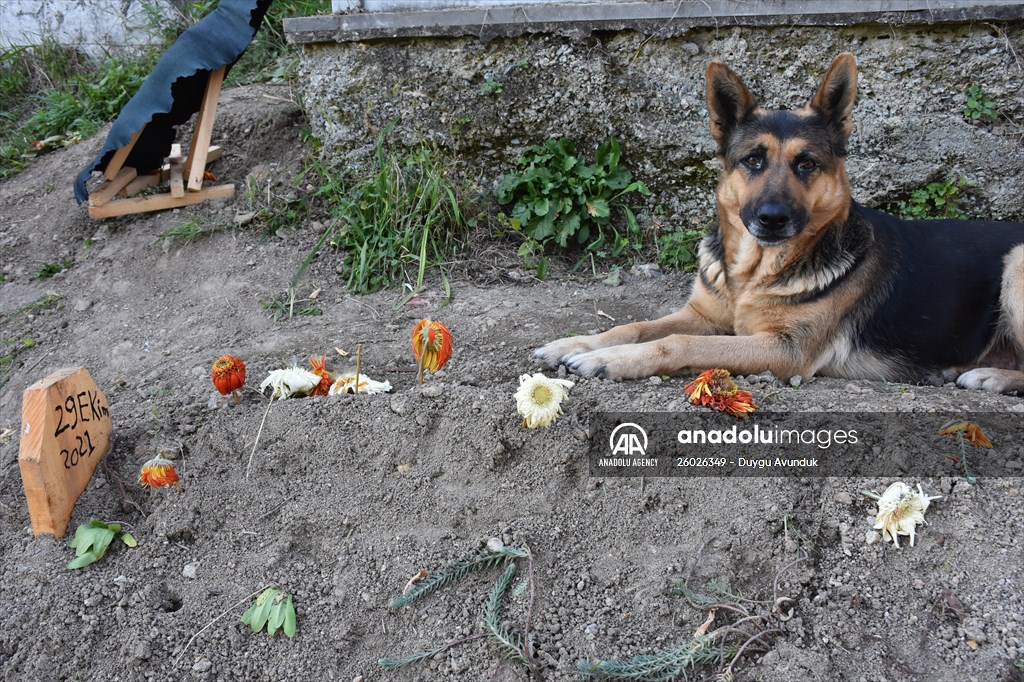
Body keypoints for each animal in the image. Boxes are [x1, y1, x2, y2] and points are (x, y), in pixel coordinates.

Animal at [536, 51, 1024, 393]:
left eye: (806, 164)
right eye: (753, 160)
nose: (772, 219)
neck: (753, 273)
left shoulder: (785, 349)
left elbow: (677, 342)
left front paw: (612, 359)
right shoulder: (704, 315)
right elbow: (635, 326)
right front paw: (576, 343)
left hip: (1016, 266)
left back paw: (989, 378)